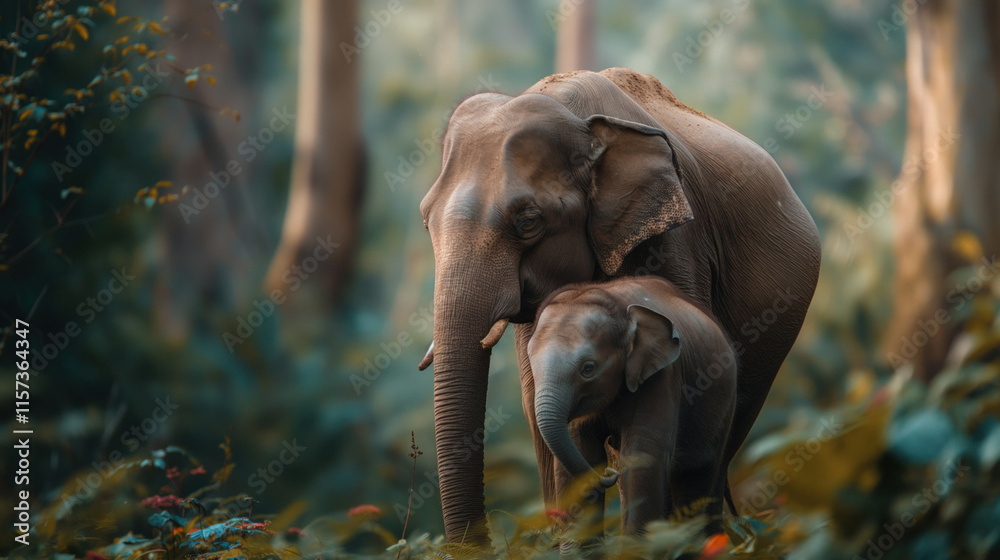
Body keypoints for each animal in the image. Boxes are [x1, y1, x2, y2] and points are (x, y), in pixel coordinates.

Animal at [526, 275, 738, 535]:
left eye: (588, 368)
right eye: (532, 366)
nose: (608, 473)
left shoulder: (662, 375)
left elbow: (643, 454)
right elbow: (580, 452)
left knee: (698, 476)